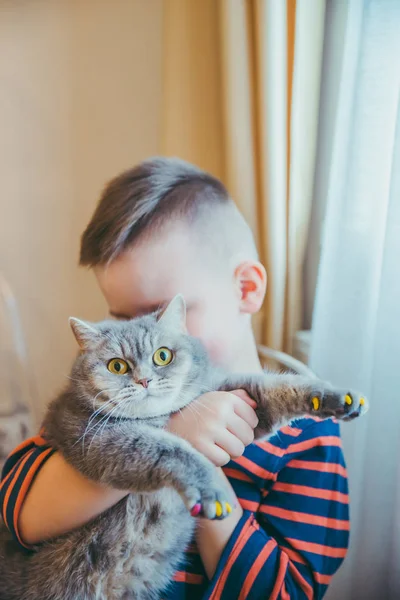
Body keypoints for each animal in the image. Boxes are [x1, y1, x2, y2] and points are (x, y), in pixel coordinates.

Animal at [0, 296, 368, 600]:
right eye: (117, 366)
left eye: (162, 356)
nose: (144, 380)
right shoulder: (99, 437)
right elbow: (172, 450)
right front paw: (209, 489)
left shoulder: (233, 394)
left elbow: (276, 385)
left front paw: (333, 397)